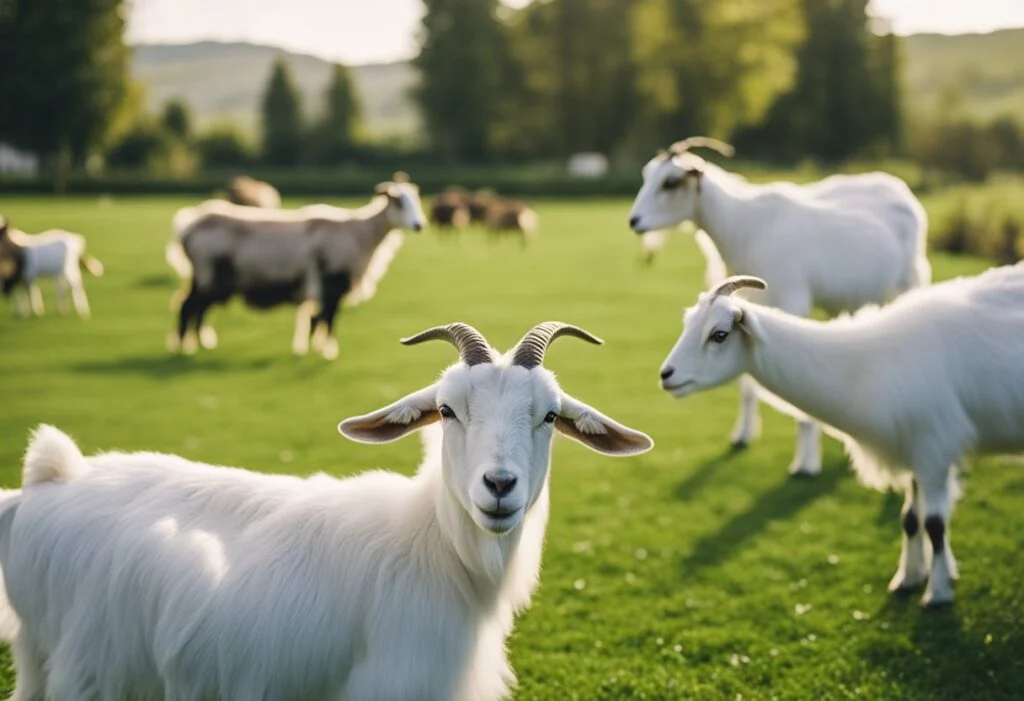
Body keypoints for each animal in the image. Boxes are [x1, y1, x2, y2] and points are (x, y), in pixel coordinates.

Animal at [0, 322, 652, 700]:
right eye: (446, 411)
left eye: (549, 416)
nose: (499, 485)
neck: (434, 547)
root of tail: (50, 477)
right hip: (94, 672)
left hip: (41, 657)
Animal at [166, 175, 425, 360]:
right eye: (398, 201)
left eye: (415, 199)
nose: (419, 225)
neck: (359, 233)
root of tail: (189, 228)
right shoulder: (332, 283)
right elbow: (328, 319)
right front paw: (328, 352)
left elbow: (316, 319)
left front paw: (313, 348)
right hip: (210, 276)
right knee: (189, 307)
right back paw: (185, 348)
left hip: (202, 277)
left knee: (197, 309)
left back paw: (201, 343)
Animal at [631, 137, 930, 476]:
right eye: (647, 175)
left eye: (670, 182)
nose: (634, 221)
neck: (744, 226)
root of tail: (900, 188)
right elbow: (747, 383)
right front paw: (743, 436)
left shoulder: (790, 300)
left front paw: (806, 464)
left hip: (911, 281)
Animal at [660, 272, 1024, 605]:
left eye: (719, 334)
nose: (666, 375)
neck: (862, 364)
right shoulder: (913, 452)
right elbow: (910, 519)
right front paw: (908, 578)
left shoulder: (934, 449)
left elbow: (934, 524)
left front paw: (937, 594)